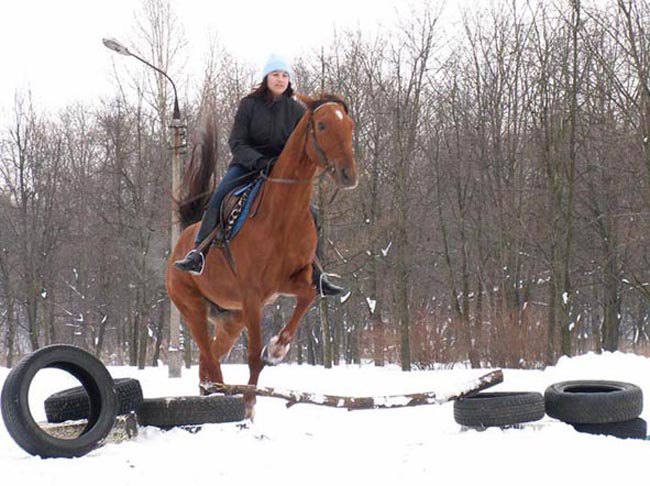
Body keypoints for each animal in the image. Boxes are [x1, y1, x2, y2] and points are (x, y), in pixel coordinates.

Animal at [165, 92, 356, 418]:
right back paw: (221, 394)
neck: (282, 214)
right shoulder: (253, 294)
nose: (348, 174)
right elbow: (254, 355)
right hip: (192, 309)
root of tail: (181, 243)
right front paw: (249, 404)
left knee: (209, 358)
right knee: (209, 356)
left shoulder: (289, 282)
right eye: (322, 125)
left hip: (232, 320)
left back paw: (212, 391)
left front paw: (277, 348)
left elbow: (308, 296)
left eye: (350, 126)